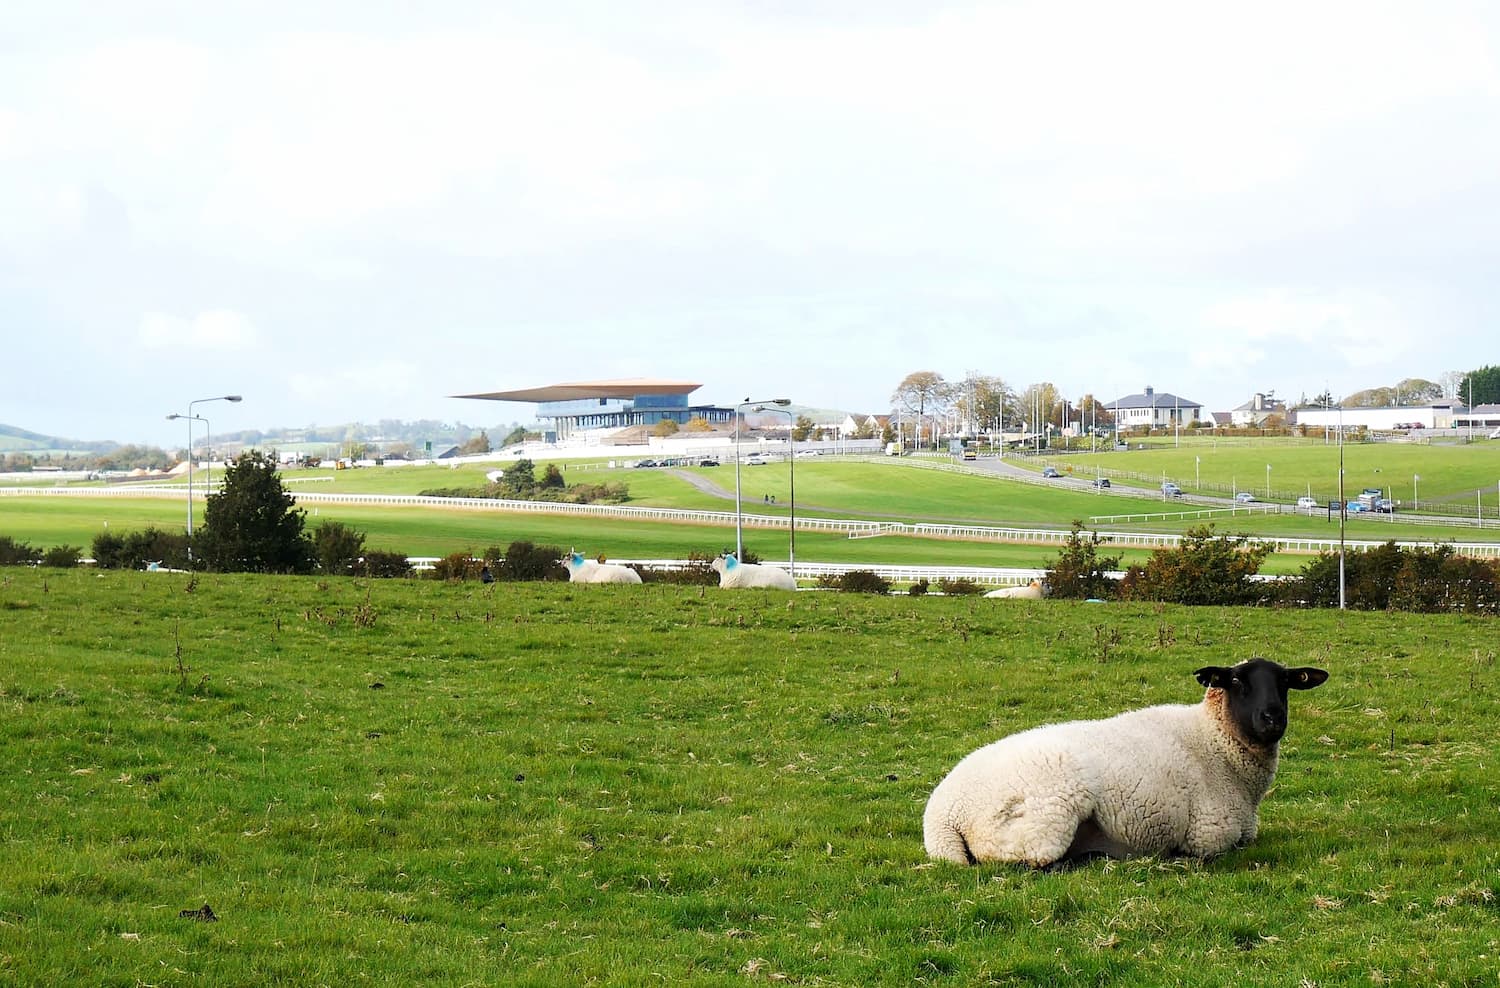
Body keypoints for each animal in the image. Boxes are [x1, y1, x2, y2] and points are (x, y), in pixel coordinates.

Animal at [924, 659, 1326, 869]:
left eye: (1286, 682)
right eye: (1238, 680)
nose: (1273, 717)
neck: (1214, 741)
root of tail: (944, 814)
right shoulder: (1210, 836)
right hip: (1044, 819)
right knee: (1034, 860)